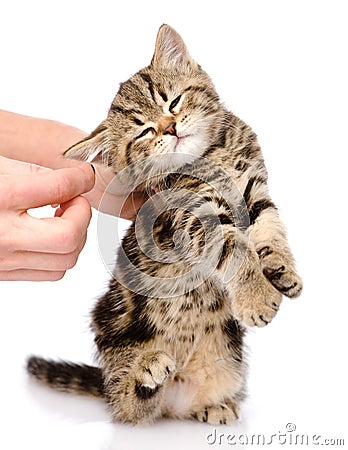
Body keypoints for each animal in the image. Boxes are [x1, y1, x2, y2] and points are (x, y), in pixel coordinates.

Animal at [27, 24, 302, 426]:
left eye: (172, 102)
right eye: (143, 131)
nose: (170, 128)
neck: (214, 154)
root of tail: (177, 396)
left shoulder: (254, 190)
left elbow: (270, 228)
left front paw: (282, 269)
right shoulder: (191, 216)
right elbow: (233, 245)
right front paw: (257, 297)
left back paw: (212, 405)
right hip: (111, 325)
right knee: (128, 405)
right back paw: (145, 374)